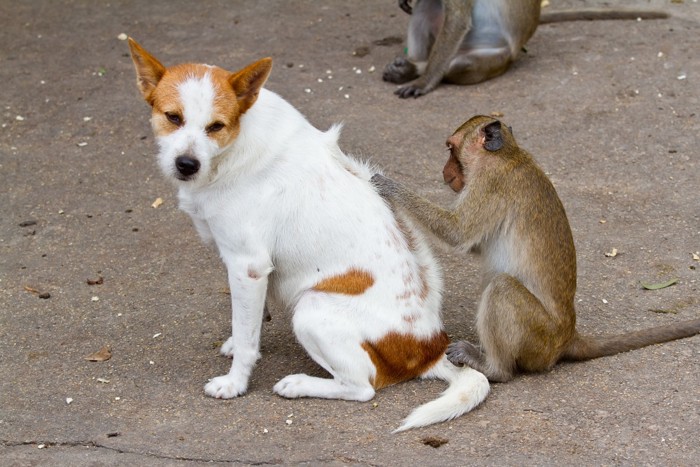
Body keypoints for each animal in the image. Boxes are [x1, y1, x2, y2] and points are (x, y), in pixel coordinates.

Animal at [129, 37, 486, 432]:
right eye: (173, 117)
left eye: (216, 126)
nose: (186, 165)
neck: (235, 148)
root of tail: (429, 350)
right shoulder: (255, 271)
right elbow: (249, 324)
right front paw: (238, 343)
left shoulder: (247, 265)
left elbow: (248, 335)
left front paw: (235, 383)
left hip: (311, 310)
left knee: (362, 387)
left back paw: (298, 384)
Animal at [370, 115, 696, 382]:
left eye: (451, 149)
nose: (445, 172)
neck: (507, 153)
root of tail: (568, 335)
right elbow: (475, 244)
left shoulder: (489, 184)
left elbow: (457, 233)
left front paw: (389, 187)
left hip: (539, 337)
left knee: (501, 288)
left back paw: (495, 368)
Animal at [386, 0, 668, 98]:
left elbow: (457, 19)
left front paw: (424, 83)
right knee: (427, 4)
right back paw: (412, 67)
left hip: (496, 59)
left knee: (459, 65)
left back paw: (423, 71)